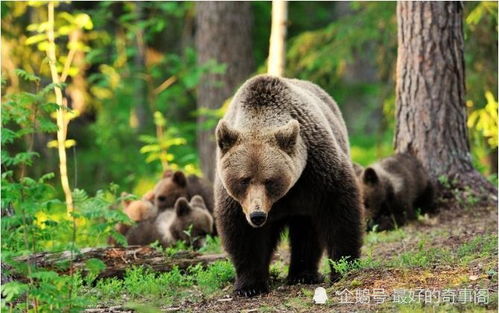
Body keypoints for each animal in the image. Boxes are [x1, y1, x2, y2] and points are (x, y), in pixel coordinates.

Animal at [215, 74, 364, 296]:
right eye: (244, 179)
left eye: (269, 180)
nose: (257, 215)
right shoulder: (235, 199)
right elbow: (243, 233)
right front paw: (250, 285)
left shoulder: (316, 171)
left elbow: (339, 212)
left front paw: (344, 266)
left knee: (306, 230)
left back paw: (303, 274)